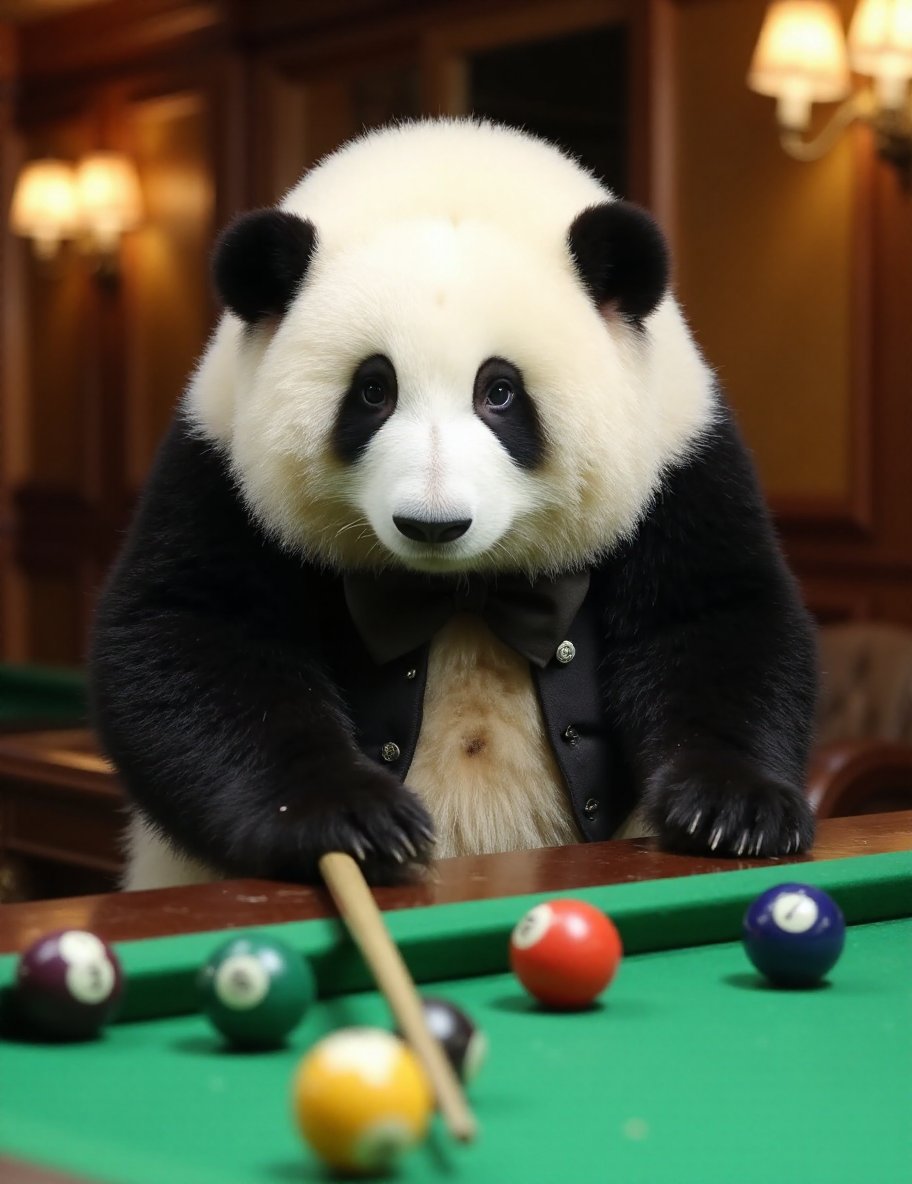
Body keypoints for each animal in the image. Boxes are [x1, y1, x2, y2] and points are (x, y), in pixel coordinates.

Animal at [90, 117, 814, 890]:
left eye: (499, 392)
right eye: (373, 390)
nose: (432, 523)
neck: (463, 589)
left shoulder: (676, 457)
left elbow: (713, 616)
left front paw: (734, 810)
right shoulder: (221, 462)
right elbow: (193, 629)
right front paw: (347, 818)